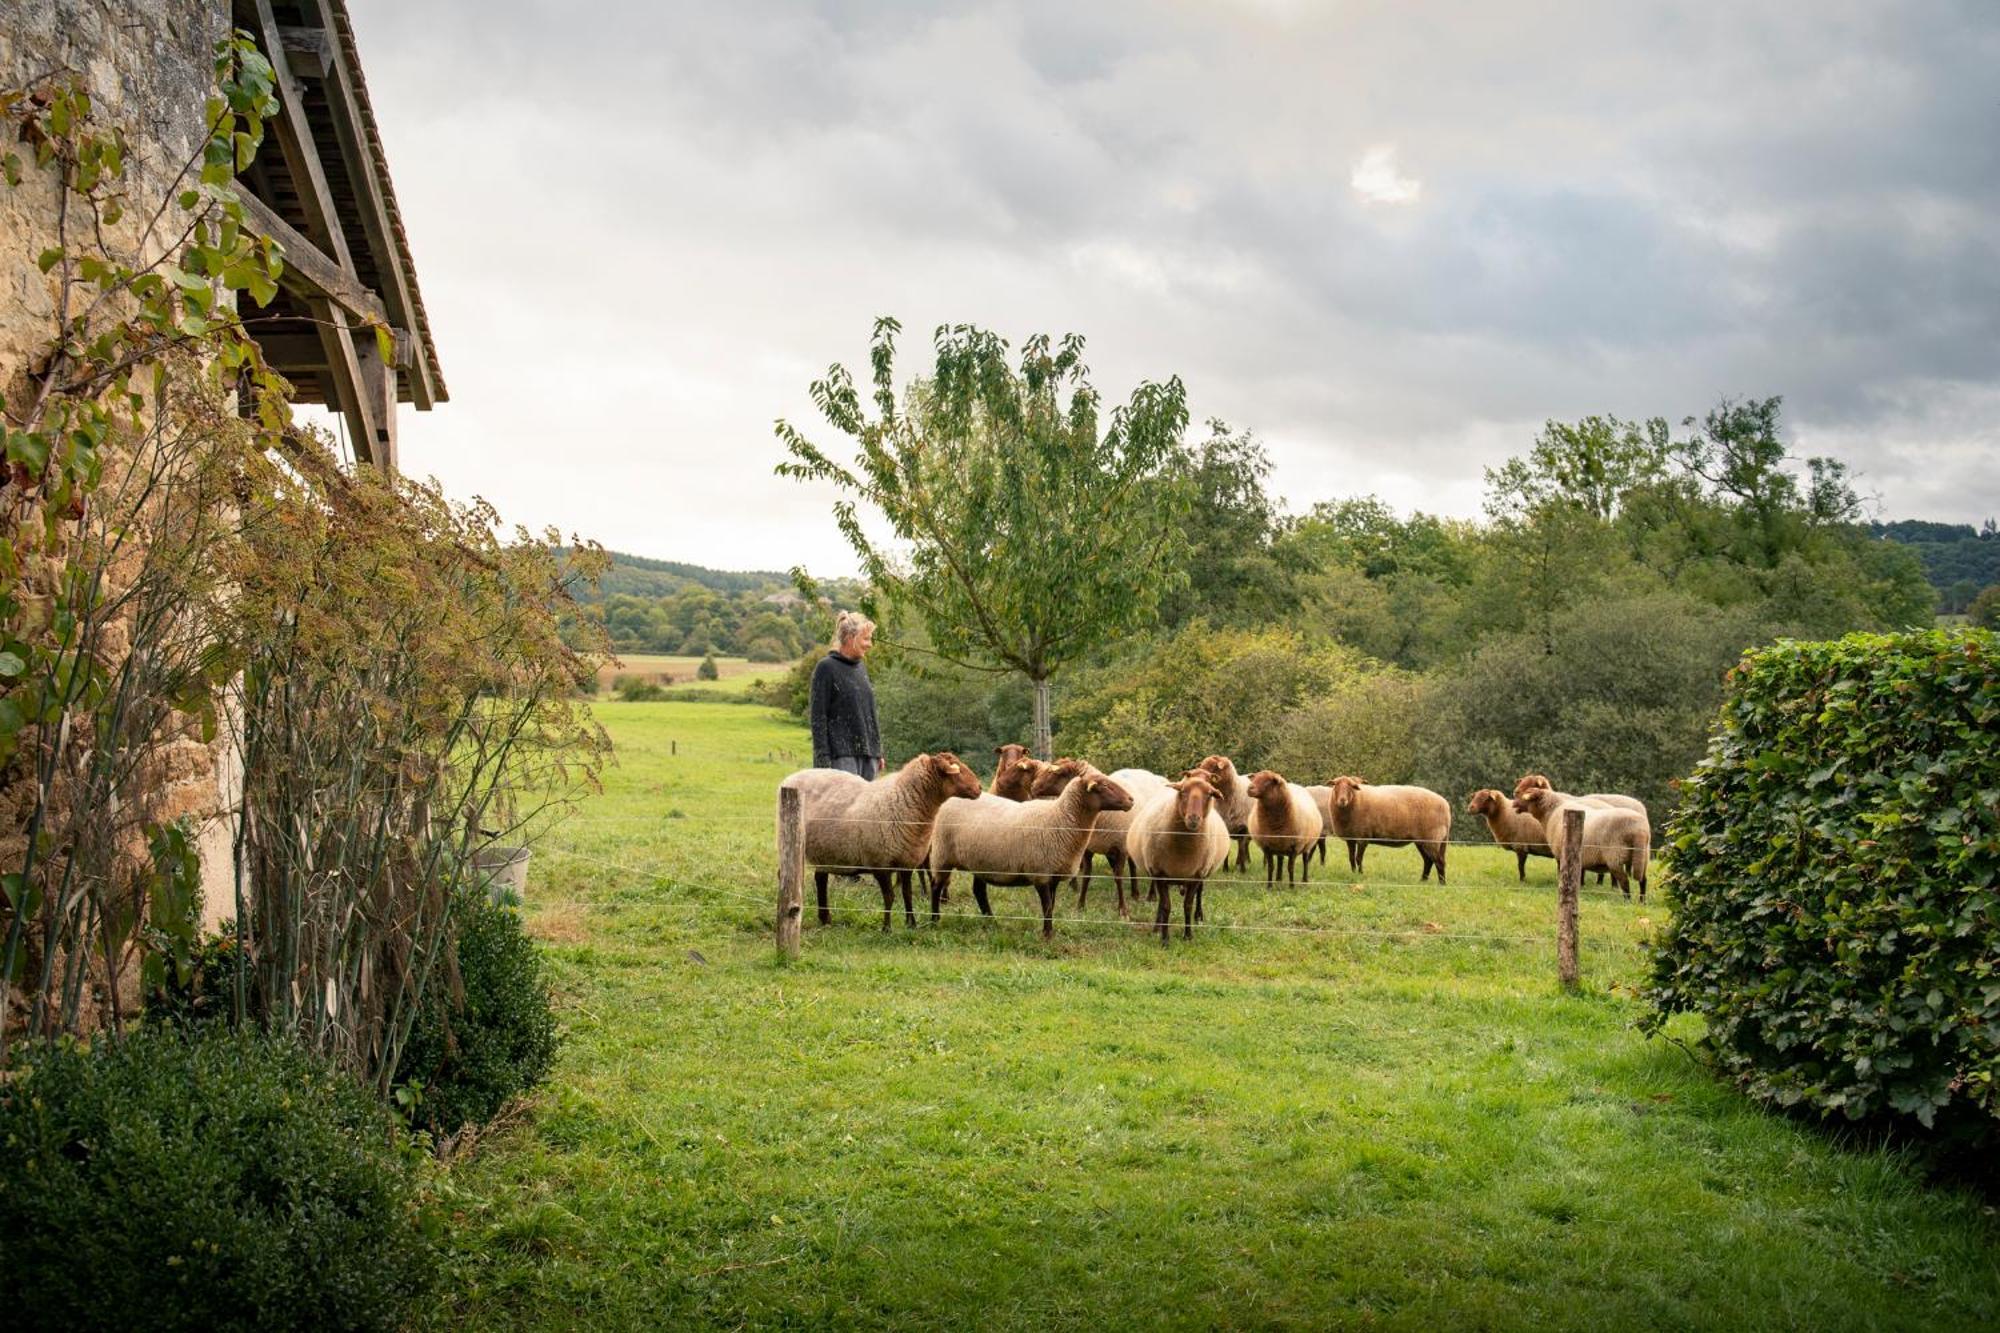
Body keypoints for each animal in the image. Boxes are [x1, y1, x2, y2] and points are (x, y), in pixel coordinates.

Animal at [788, 752, 992, 928]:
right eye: (957, 770)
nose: (979, 788)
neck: (904, 799)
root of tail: (792, 777)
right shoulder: (880, 863)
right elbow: (889, 896)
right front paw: (886, 928)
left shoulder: (907, 861)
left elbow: (907, 894)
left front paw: (911, 923)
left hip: (825, 850)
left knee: (820, 879)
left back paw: (825, 919)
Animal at [1128, 768, 1232, 944]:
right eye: (1183, 791)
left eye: (1210, 794)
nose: (1193, 818)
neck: (1184, 848)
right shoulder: (1160, 873)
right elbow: (1166, 906)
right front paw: (1164, 938)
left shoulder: (1196, 875)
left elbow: (1188, 905)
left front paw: (1188, 935)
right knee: (1162, 903)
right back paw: (1157, 926)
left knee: (1199, 894)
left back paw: (1199, 916)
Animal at [1328, 768, 1456, 880]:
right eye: (1336, 785)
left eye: (1351, 786)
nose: (1342, 800)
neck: (1355, 800)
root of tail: (1445, 805)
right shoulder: (1351, 838)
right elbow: (1351, 859)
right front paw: (1353, 874)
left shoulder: (1363, 837)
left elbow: (1358, 858)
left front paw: (1360, 874)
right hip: (1422, 841)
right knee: (1428, 861)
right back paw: (1423, 881)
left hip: (1432, 838)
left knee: (1439, 861)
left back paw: (1442, 883)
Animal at [1512, 784, 1656, 896]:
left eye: (1526, 796)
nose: (1513, 804)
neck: (1552, 812)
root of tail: (1640, 829)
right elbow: (1579, 872)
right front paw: (1579, 886)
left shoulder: (1561, 853)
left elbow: (1561, 871)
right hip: (1643, 856)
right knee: (1643, 880)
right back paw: (1642, 901)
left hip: (1616, 856)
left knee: (1625, 881)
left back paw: (1627, 901)